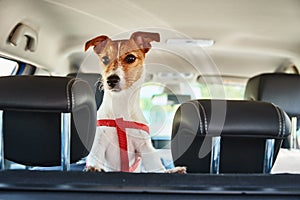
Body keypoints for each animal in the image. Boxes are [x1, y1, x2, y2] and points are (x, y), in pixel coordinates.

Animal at [84, 31, 185, 173]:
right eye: (105, 59)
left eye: (131, 58)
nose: (111, 80)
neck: (120, 105)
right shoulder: (99, 141)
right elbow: (95, 156)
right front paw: (94, 167)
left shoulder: (144, 146)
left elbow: (156, 167)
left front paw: (169, 171)